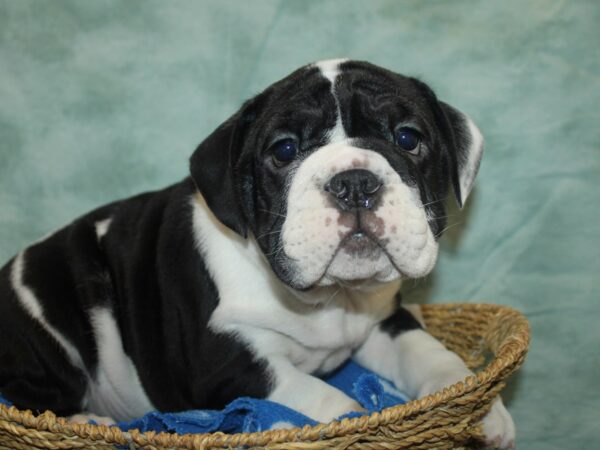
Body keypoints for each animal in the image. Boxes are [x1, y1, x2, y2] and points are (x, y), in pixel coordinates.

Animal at [0, 59, 516, 446]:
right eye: (284, 150)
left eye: (408, 138)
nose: (354, 182)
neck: (329, 300)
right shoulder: (227, 367)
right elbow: (326, 401)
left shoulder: (384, 322)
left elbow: (428, 354)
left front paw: (480, 408)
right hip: (50, 332)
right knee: (26, 394)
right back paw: (86, 420)